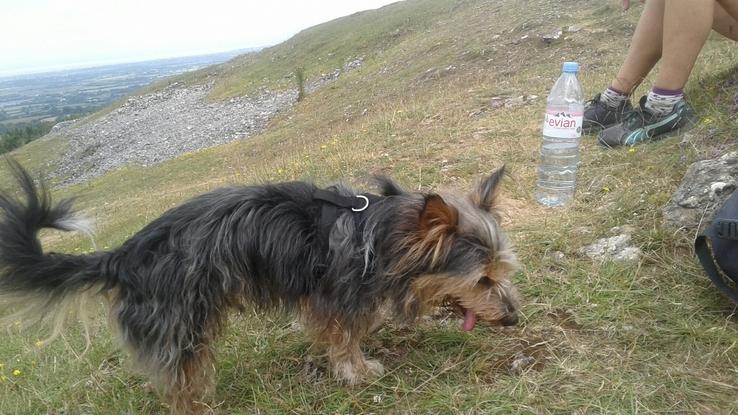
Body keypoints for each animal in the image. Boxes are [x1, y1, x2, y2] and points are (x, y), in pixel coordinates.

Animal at [0, 158, 516, 412]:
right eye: (482, 279)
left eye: (501, 273)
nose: (513, 318)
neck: (381, 234)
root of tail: (124, 256)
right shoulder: (338, 299)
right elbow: (346, 339)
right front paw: (358, 372)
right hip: (182, 323)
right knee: (180, 385)